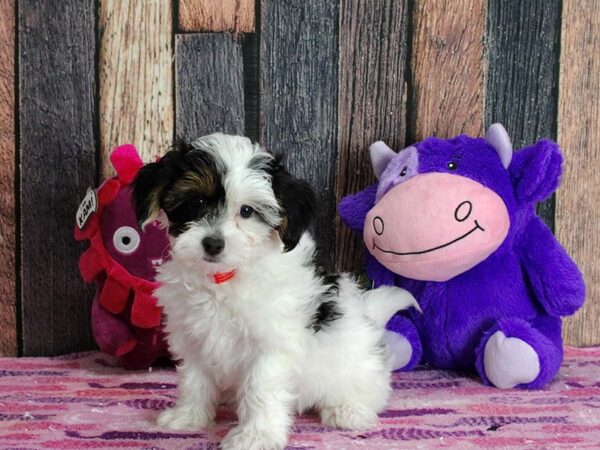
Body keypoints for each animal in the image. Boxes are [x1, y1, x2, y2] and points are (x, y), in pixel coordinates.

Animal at [134, 134, 420, 450]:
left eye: (247, 211)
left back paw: (348, 409)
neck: (225, 277)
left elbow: (260, 387)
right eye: (195, 201)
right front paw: (188, 417)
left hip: (356, 363)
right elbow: (194, 379)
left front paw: (255, 435)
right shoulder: (193, 337)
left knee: (370, 390)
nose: (213, 243)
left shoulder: (272, 343)